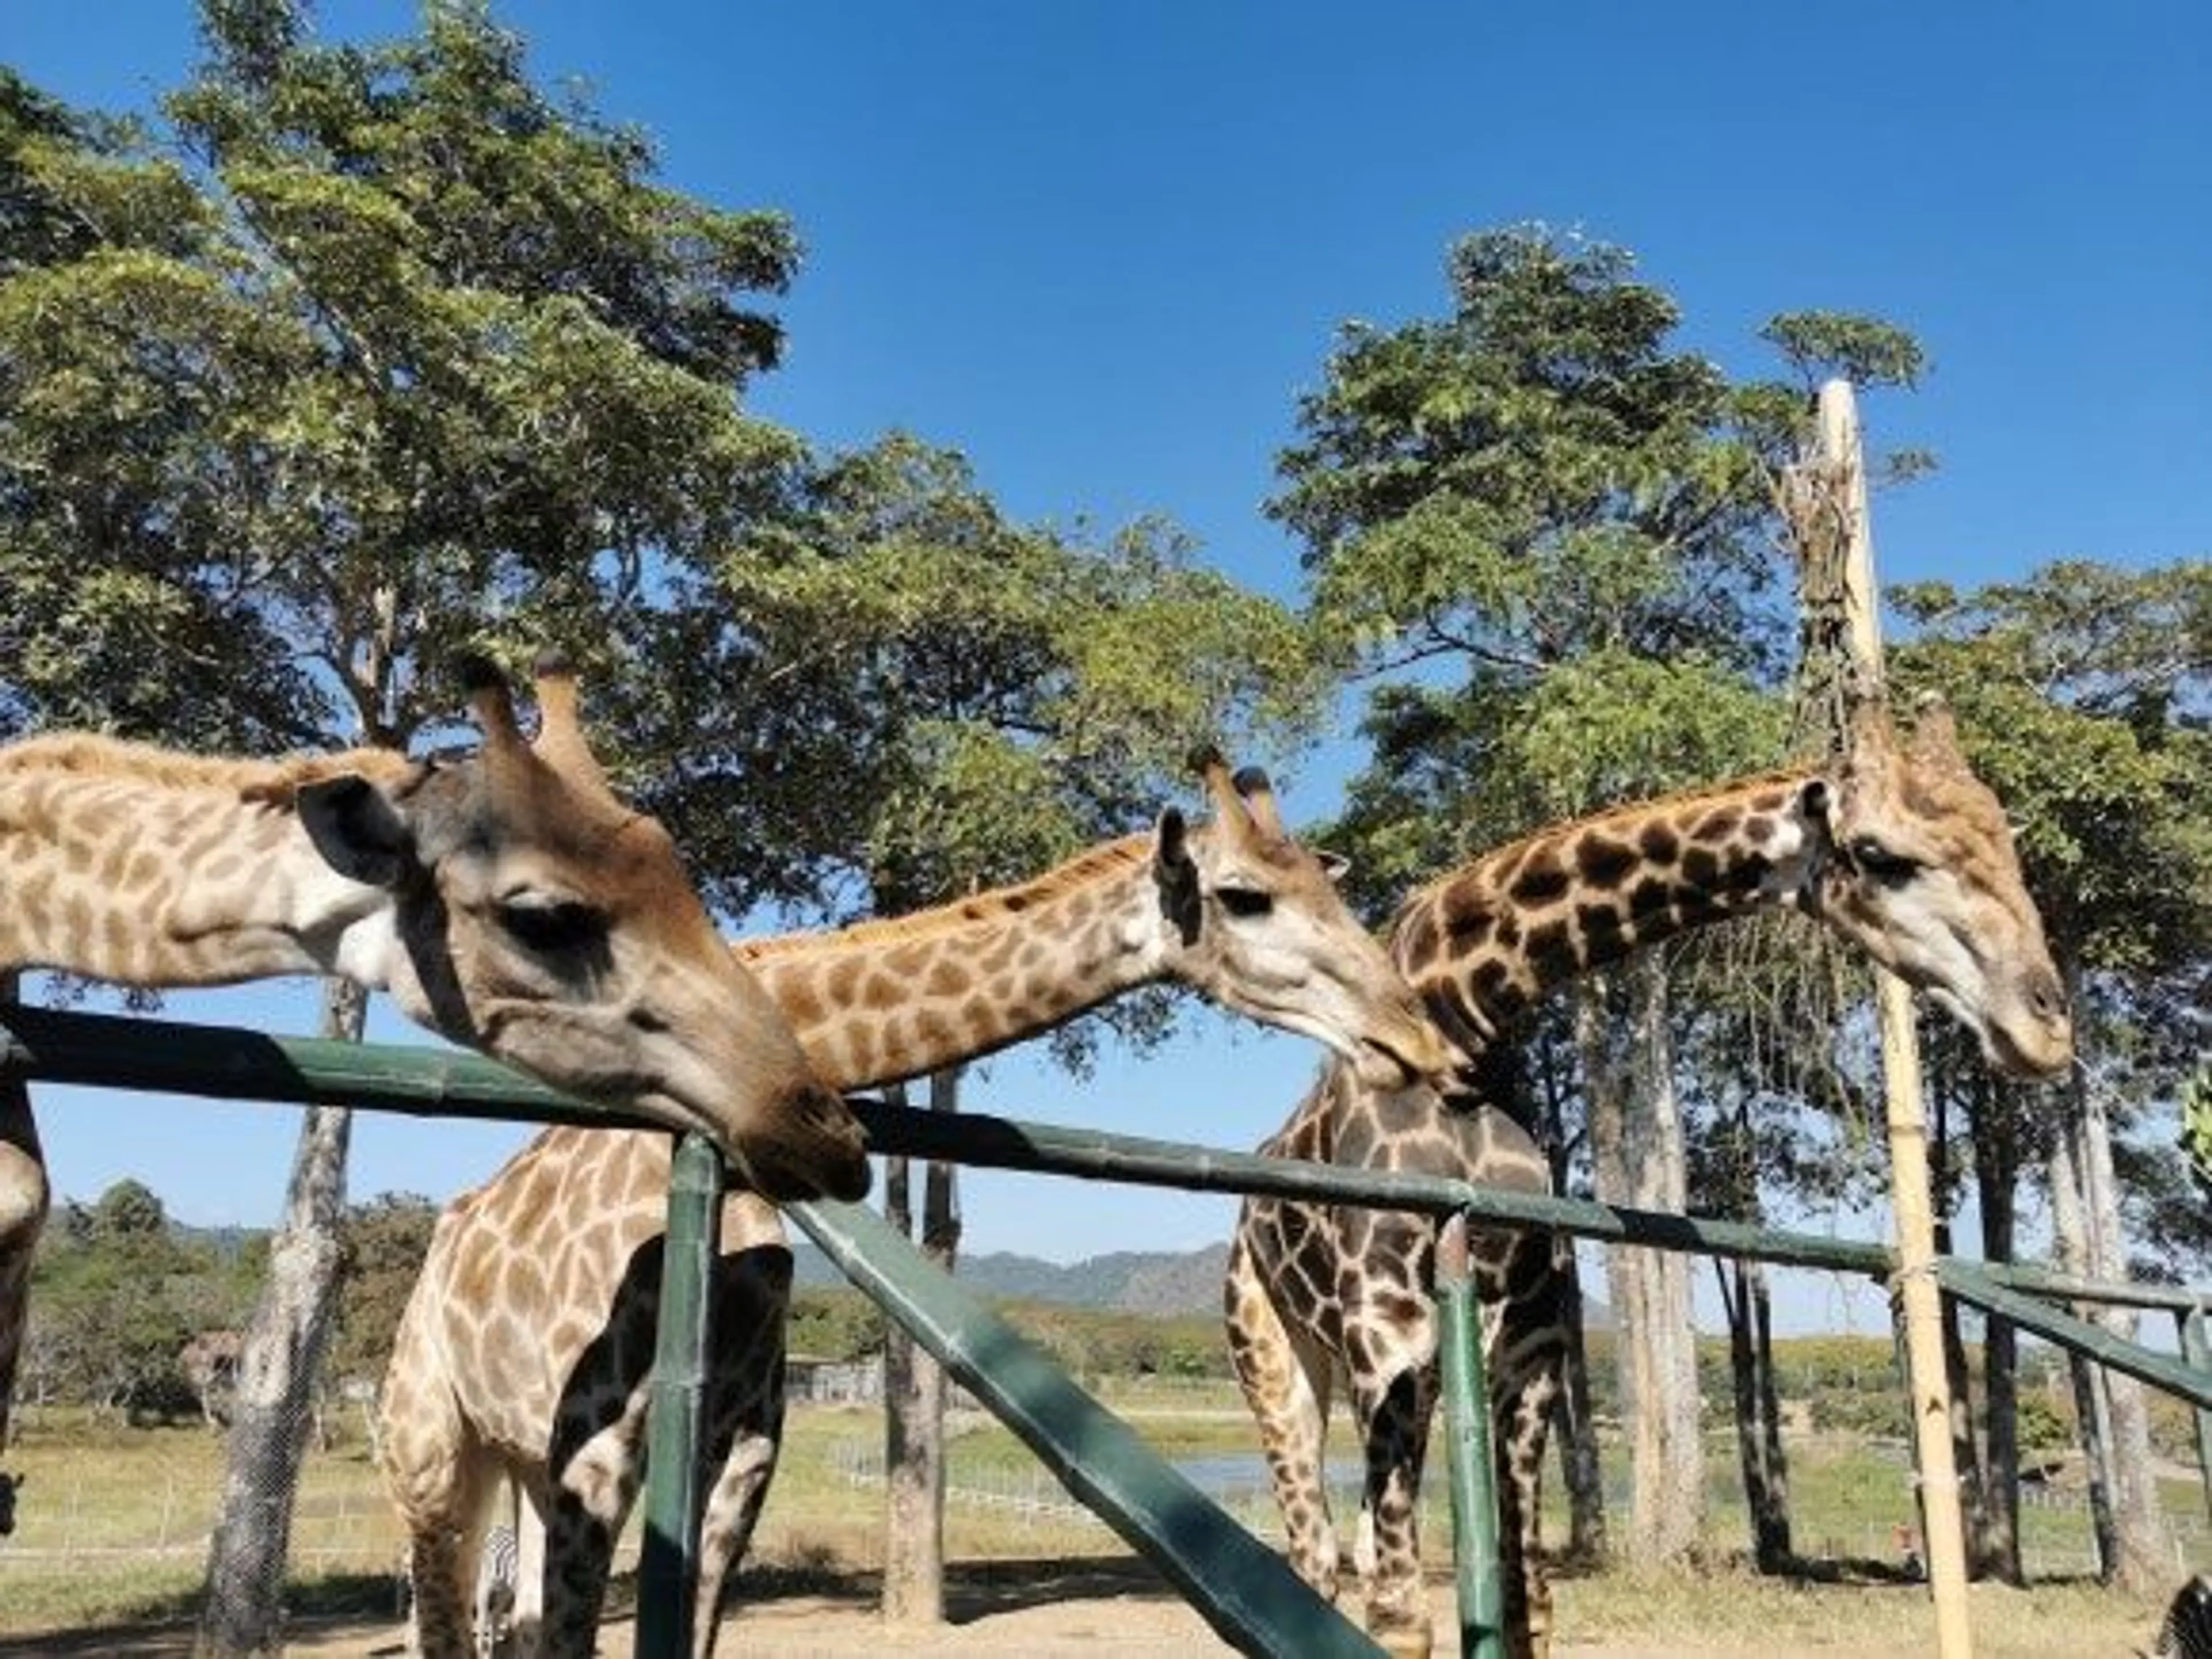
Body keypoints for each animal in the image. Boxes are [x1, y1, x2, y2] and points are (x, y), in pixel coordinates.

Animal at [372, 756, 1460, 1659]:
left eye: (1333, 891)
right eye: (1245, 898)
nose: (1414, 1037)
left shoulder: (744, 1443)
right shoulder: (596, 1442)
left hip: (514, 1459)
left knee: (504, 1620)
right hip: (430, 1448)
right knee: (445, 1614)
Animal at [1230, 694, 2070, 1654]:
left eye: (2008, 841)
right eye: (1878, 855)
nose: (2047, 1027)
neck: (1469, 1027)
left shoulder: (1528, 1350)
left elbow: (1526, 1598)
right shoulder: (1386, 1331)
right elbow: (1403, 1618)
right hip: (1277, 1358)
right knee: (1316, 1556)